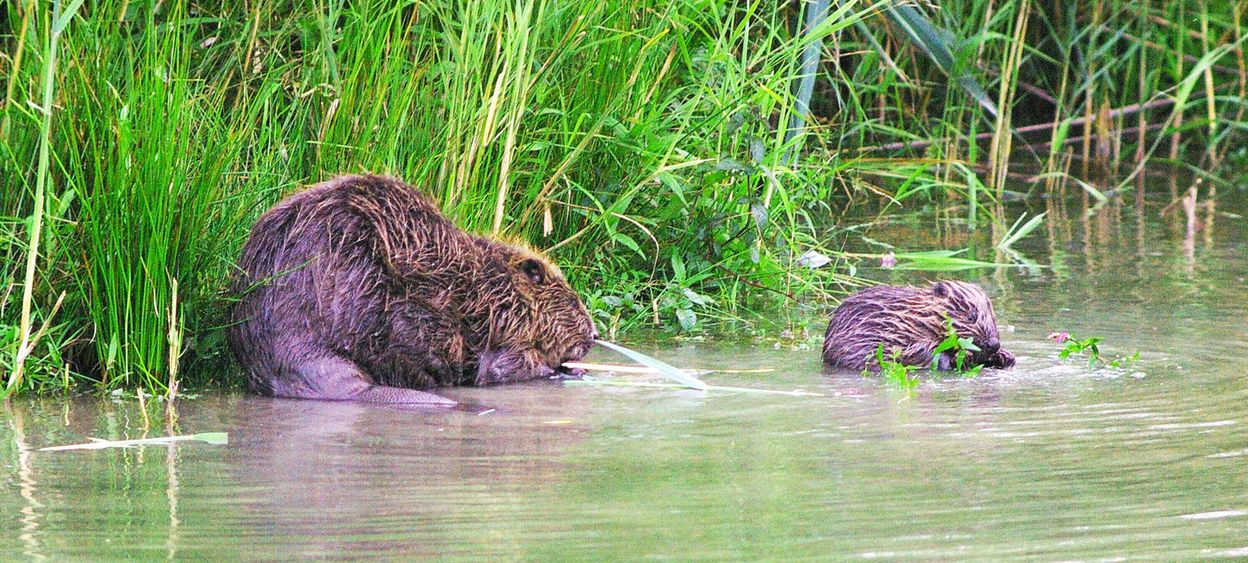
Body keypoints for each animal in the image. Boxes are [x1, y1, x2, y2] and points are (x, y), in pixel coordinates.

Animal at [229, 174, 599, 404]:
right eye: (572, 301)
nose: (594, 335)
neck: (491, 286)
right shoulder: (499, 329)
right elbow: (500, 369)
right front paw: (565, 369)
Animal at [823, 284, 1018, 372]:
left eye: (994, 317)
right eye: (971, 317)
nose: (994, 344)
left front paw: (1005, 356)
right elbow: (920, 353)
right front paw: (962, 357)